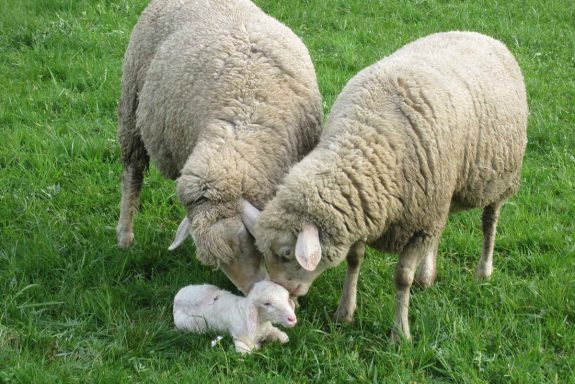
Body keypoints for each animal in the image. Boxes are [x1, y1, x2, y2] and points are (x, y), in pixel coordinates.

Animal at [241, 32, 528, 340]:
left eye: (286, 254)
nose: (282, 295)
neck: (364, 139)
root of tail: (481, 35)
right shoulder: (366, 211)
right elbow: (354, 260)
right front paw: (345, 312)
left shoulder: (419, 224)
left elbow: (402, 277)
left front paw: (400, 333)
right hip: (443, 194)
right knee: (441, 231)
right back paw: (427, 276)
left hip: (500, 178)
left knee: (490, 221)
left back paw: (483, 271)